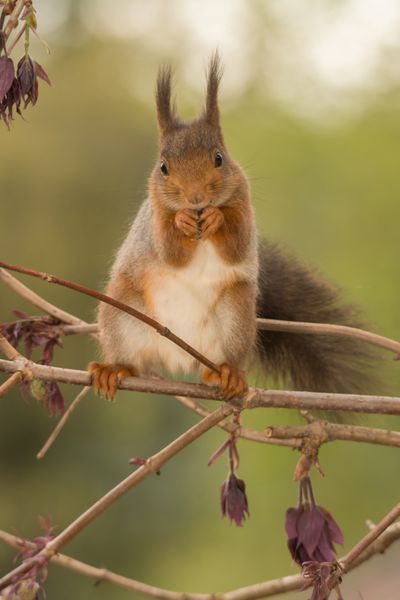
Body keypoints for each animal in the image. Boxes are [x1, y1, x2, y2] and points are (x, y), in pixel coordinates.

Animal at [86, 56, 376, 400]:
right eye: (163, 167)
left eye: (219, 158)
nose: (196, 198)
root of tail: (180, 359)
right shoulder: (154, 221)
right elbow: (170, 252)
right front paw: (182, 221)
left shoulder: (244, 206)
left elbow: (236, 244)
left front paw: (217, 218)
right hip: (123, 311)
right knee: (133, 361)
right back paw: (114, 370)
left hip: (235, 315)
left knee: (220, 362)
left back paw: (227, 375)